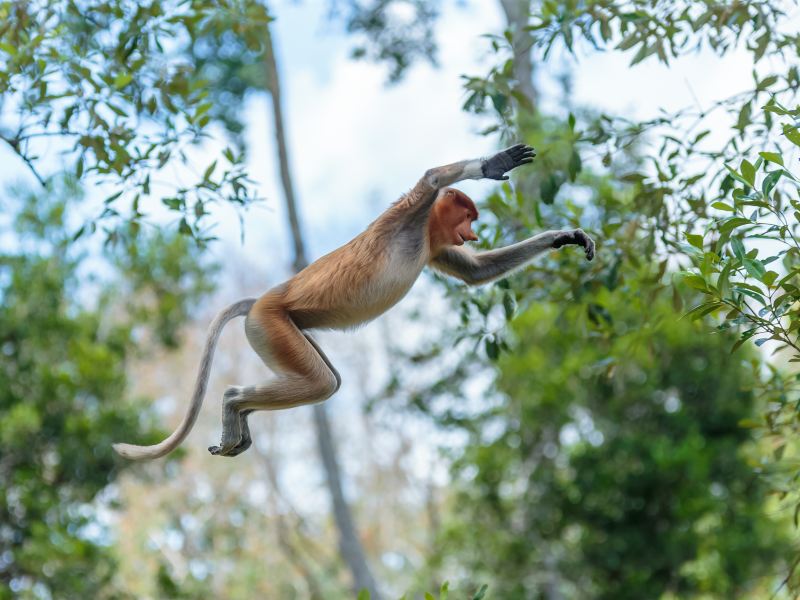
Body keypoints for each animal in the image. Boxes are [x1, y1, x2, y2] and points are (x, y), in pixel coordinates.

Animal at [112, 144, 592, 460]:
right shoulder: (405, 218)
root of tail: (265, 298)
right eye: (468, 215)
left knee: (329, 380)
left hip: (283, 329)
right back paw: (233, 402)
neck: (424, 230)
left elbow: (477, 274)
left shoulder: (434, 245)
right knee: (322, 383)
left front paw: (564, 237)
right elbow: (432, 179)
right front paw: (493, 163)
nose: (471, 233)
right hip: (271, 324)